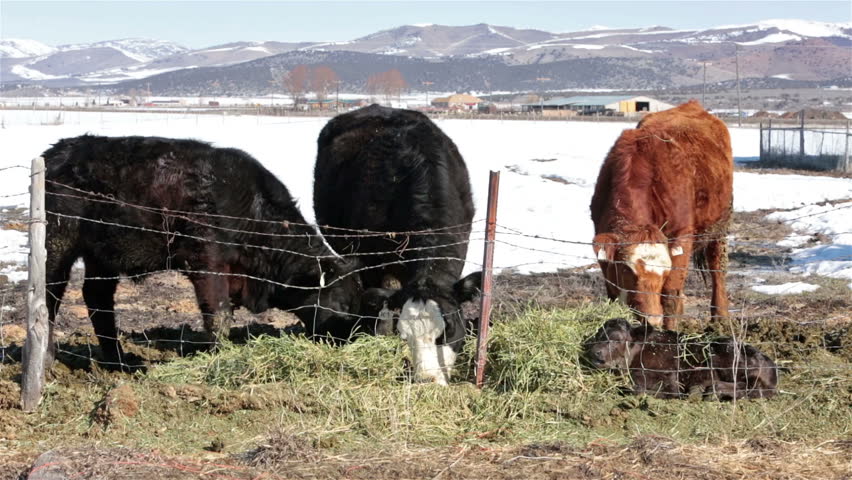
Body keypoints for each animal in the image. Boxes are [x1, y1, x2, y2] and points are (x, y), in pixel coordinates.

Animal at [43, 135, 363, 369]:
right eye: (341, 302)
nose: (346, 339)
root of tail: (59, 150)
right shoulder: (207, 263)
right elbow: (218, 315)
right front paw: (219, 355)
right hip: (58, 243)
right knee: (50, 295)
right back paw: (47, 358)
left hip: (102, 255)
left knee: (97, 298)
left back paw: (118, 361)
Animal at [584, 318, 778, 400]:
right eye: (598, 334)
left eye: (617, 339)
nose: (595, 352)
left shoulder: (669, 378)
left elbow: (641, 390)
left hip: (726, 359)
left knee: (753, 388)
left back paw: (710, 391)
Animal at [590, 100, 733, 330]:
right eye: (628, 270)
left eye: (664, 271)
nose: (652, 319)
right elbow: (612, 293)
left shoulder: (682, 237)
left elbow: (670, 295)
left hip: (719, 225)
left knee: (717, 266)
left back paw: (720, 319)